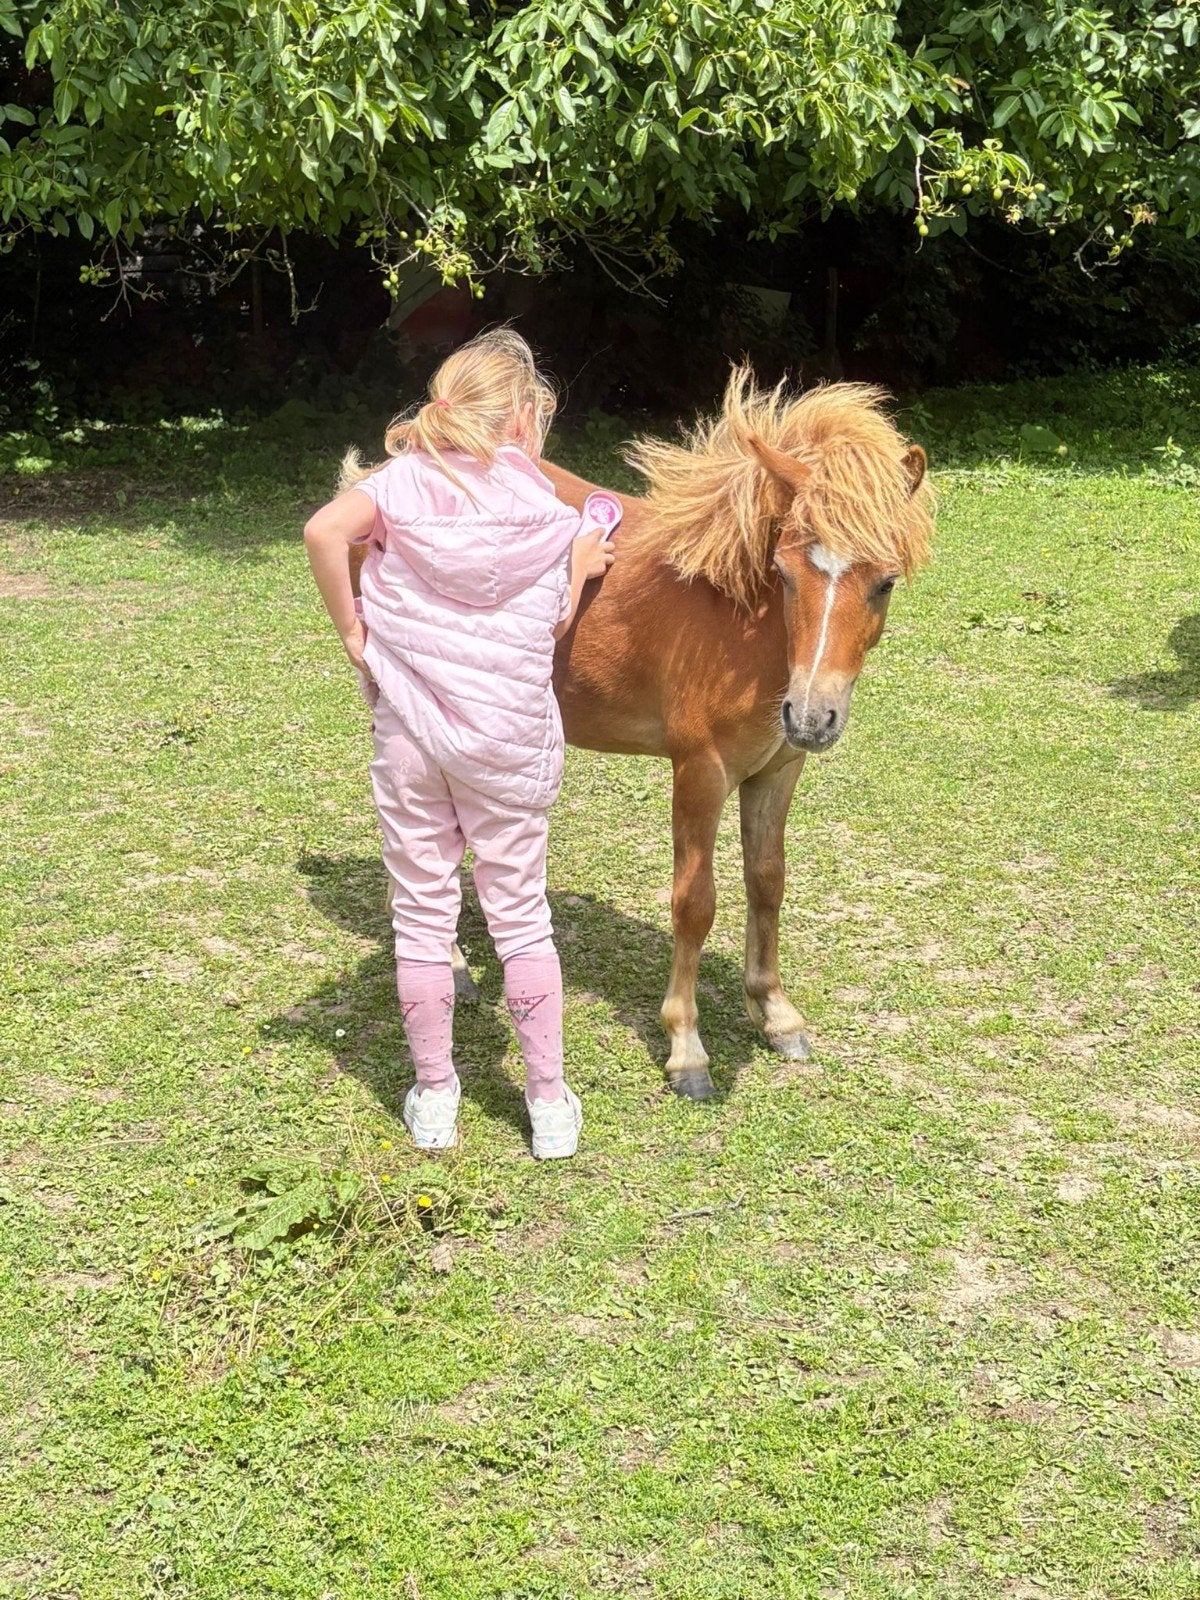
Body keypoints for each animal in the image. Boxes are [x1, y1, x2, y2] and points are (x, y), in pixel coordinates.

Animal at [356, 368, 933, 1100]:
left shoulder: (776, 771)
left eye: (885, 582)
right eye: (784, 573)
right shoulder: (700, 770)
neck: (738, 621)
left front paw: (777, 1015)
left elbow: (768, 881)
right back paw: (454, 965)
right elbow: (695, 902)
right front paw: (687, 1049)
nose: (810, 717)